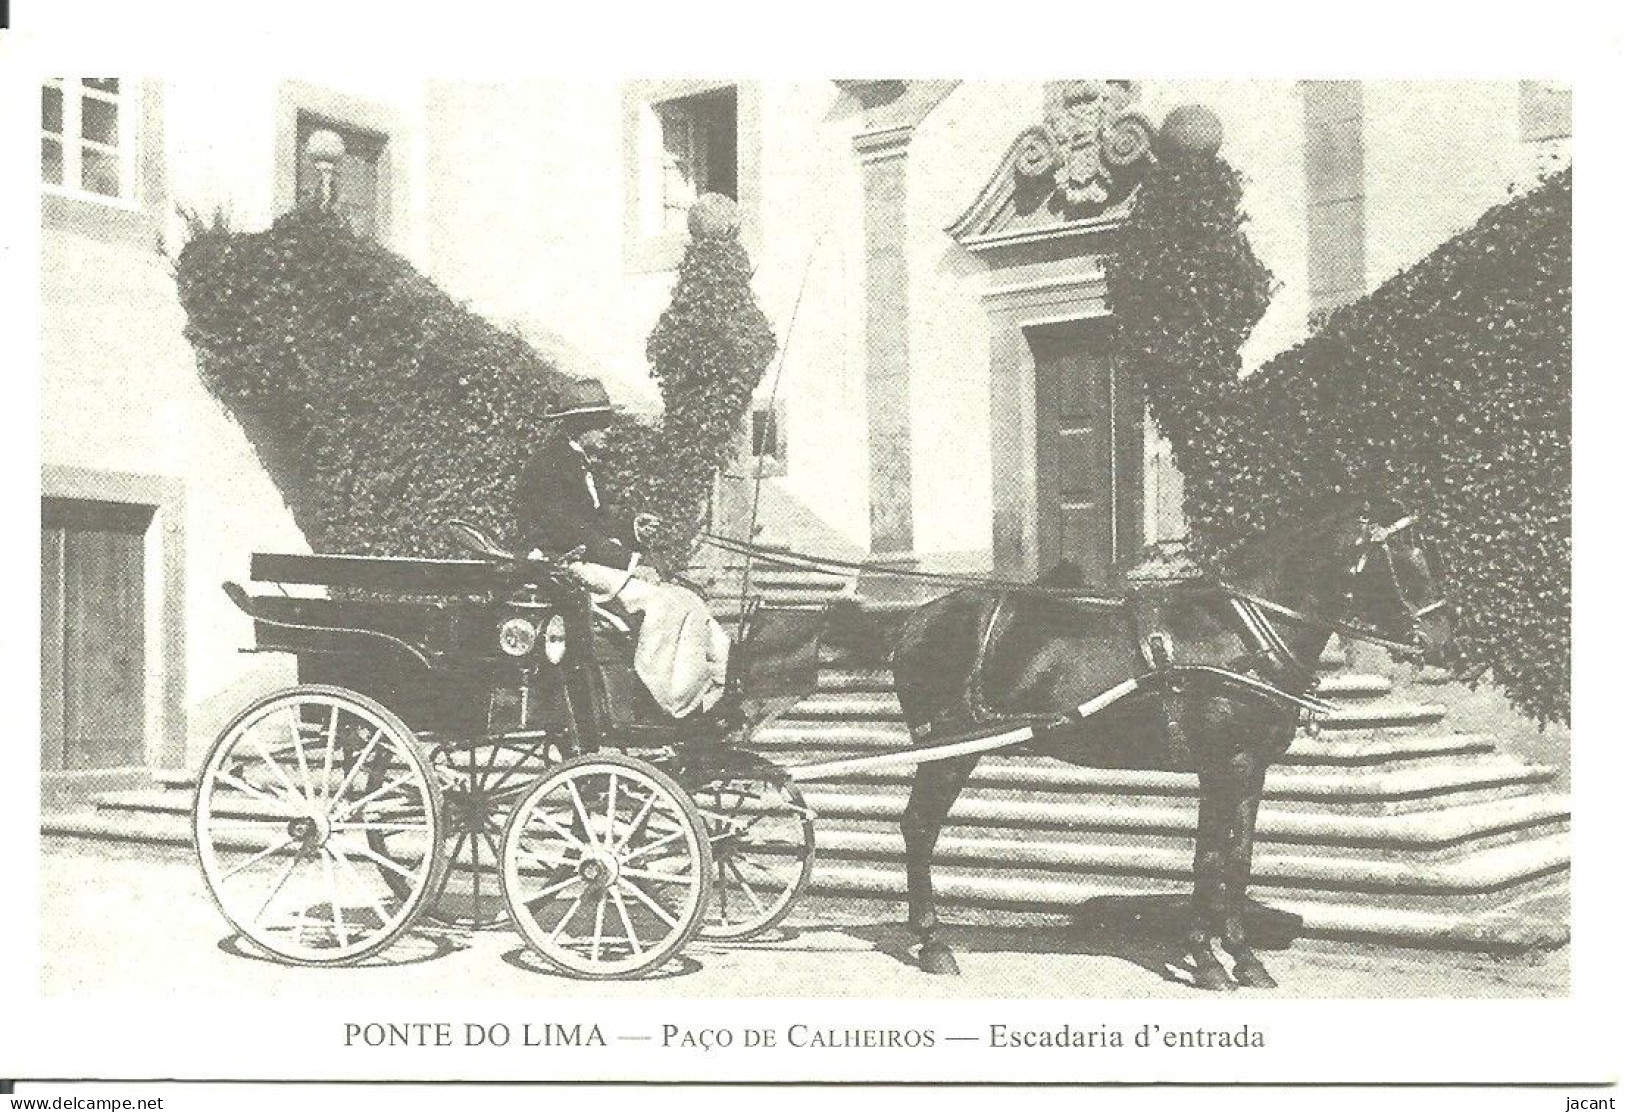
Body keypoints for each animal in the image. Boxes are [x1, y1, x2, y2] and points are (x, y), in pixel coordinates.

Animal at [897, 500, 1456, 994]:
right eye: (1404, 557)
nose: (1442, 642)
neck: (1242, 636)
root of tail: (915, 622)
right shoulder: (1219, 765)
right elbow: (1207, 860)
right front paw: (1207, 961)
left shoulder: (1250, 768)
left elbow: (1238, 860)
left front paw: (1247, 960)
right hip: (949, 751)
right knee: (920, 827)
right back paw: (933, 942)